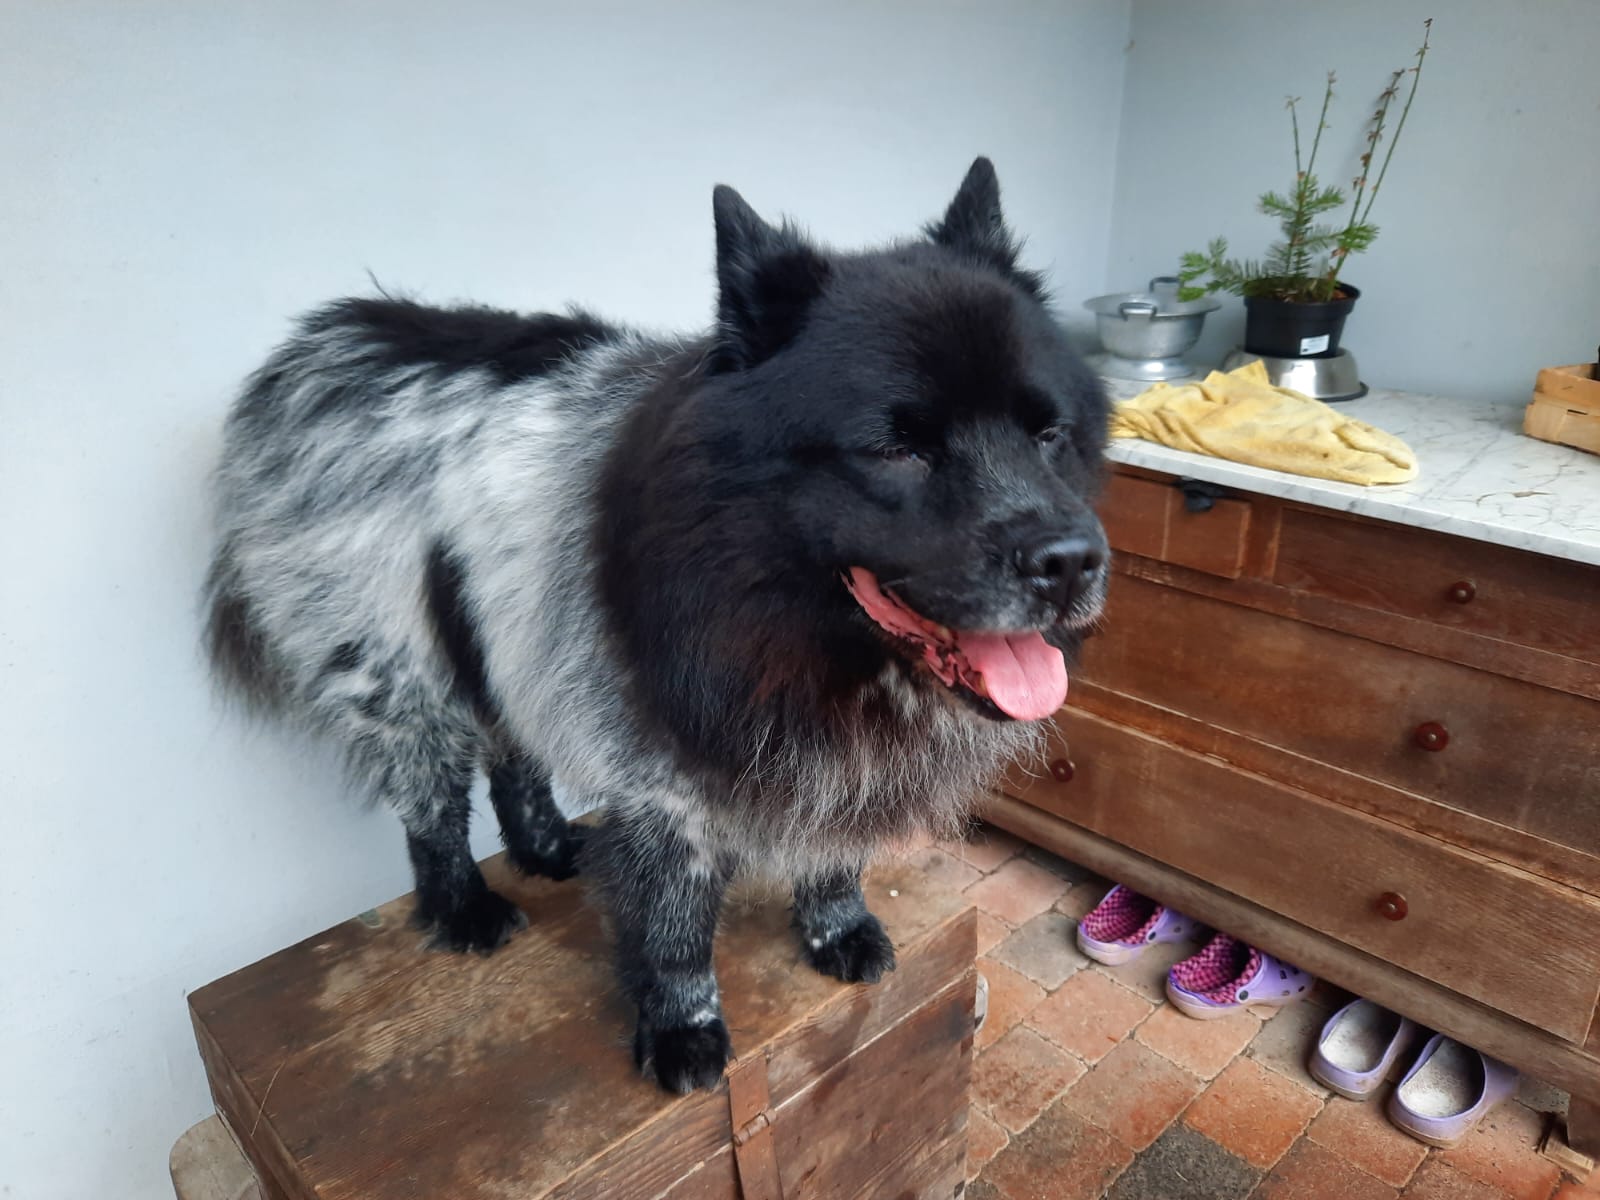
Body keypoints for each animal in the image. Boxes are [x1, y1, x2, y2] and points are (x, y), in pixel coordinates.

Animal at [204, 157, 1110, 1093]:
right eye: (897, 449)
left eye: (1048, 433)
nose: (1070, 562)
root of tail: (326, 340)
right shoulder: (662, 779)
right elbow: (675, 923)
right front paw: (683, 1028)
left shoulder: (828, 748)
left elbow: (832, 850)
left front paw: (837, 926)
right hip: (397, 668)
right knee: (432, 805)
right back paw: (463, 909)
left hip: (505, 624)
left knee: (513, 746)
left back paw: (547, 847)